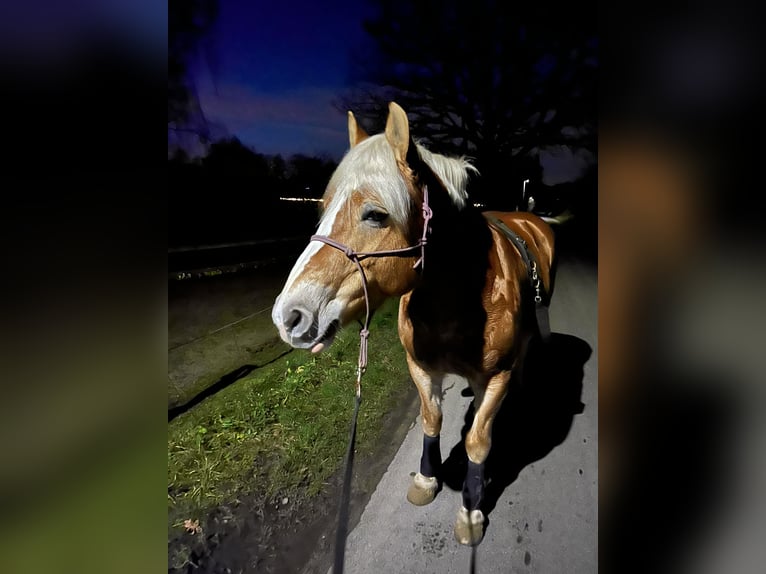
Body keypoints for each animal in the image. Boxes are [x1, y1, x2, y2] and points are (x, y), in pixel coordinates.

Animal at [272, 103, 556, 548]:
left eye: (375, 215)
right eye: (324, 208)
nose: (290, 315)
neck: (458, 299)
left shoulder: (495, 379)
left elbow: (478, 441)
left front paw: (471, 508)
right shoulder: (422, 369)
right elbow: (431, 419)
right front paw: (426, 480)